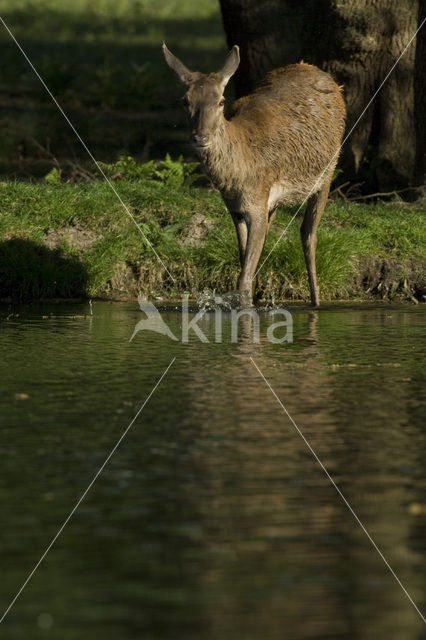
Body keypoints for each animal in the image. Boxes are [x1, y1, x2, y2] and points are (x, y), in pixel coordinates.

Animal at [163, 42, 346, 308]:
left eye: (221, 100)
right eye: (185, 100)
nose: (200, 137)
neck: (238, 177)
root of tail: (318, 71)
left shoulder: (256, 202)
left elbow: (243, 278)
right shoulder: (237, 209)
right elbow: (245, 267)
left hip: (328, 172)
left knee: (309, 234)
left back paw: (316, 301)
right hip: (277, 200)